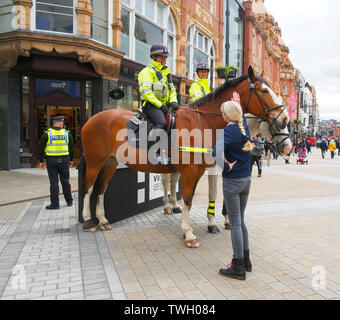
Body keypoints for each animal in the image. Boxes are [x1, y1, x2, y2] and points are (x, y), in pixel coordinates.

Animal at [78, 66, 290, 249]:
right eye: (264, 91)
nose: (285, 119)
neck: (204, 122)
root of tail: (91, 119)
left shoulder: (203, 171)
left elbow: (200, 197)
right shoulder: (190, 171)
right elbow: (188, 199)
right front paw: (188, 233)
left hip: (110, 163)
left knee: (101, 189)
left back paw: (103, 220)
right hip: (95, 162)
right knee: (89, 188)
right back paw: (88, 220)